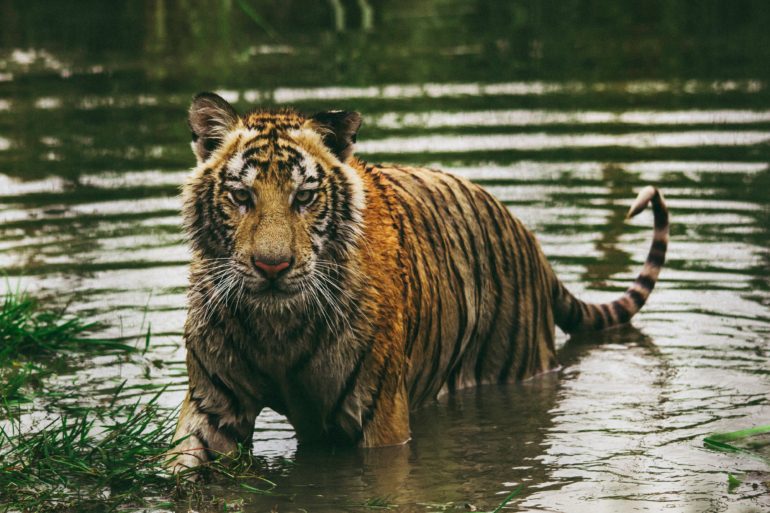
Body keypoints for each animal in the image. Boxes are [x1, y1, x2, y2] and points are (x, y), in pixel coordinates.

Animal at [168, 92, 664, 472]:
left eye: (305, 197)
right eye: (241, 196)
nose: (272, 266)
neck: (277, 329)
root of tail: (530, 240)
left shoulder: (378, 417)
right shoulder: (213, 406)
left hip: (516, 367)